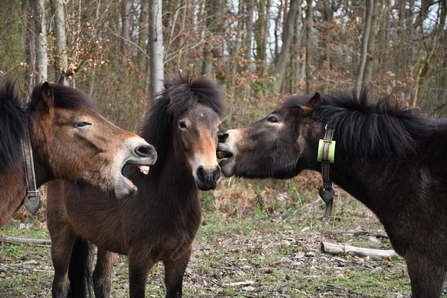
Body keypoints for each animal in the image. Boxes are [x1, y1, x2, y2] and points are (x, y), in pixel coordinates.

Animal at [46, 75, 224, 298]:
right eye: (183, 124)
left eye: (217, 125)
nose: (208, 174)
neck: (161, 195)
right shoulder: (139, 259)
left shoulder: (179, 257)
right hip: (61, 231)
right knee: (61, 283)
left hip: (106, 242)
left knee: (101, 280)